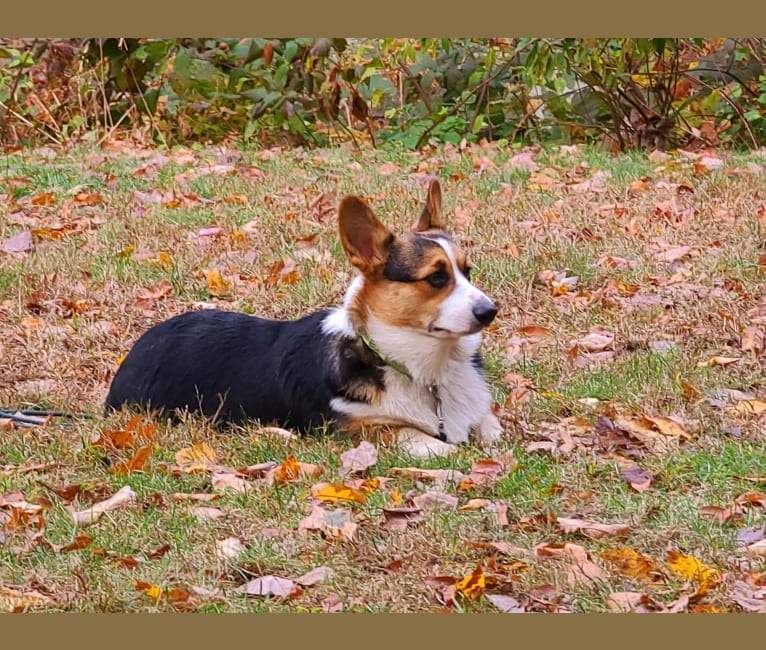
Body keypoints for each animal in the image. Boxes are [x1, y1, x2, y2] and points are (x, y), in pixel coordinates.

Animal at [106, 178, 504, 456]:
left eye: (468, 271)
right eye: (436, 277)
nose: (490, 311)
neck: (424, 367)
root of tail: (144, 341)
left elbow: (491, 423)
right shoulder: (352, 428)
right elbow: (413, 434)